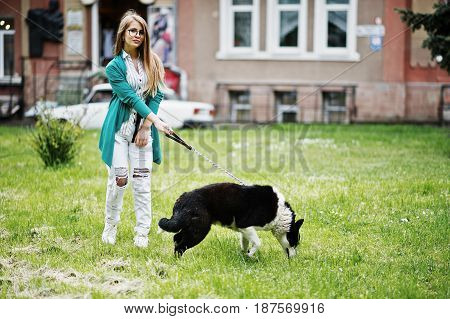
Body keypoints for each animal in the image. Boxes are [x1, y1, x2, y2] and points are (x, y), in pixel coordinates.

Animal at [159, 184, 306, 258]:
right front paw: (250, 255)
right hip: (199, 230)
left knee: (176, 237)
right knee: (180, 246)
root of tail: (183, 198)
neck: (280, 214)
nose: (294, 258)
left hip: (190, 227)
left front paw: (245, 255)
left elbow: (246, 244)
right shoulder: (246, 226)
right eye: (295, 242)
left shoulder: (244, 231)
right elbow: (258, 243)